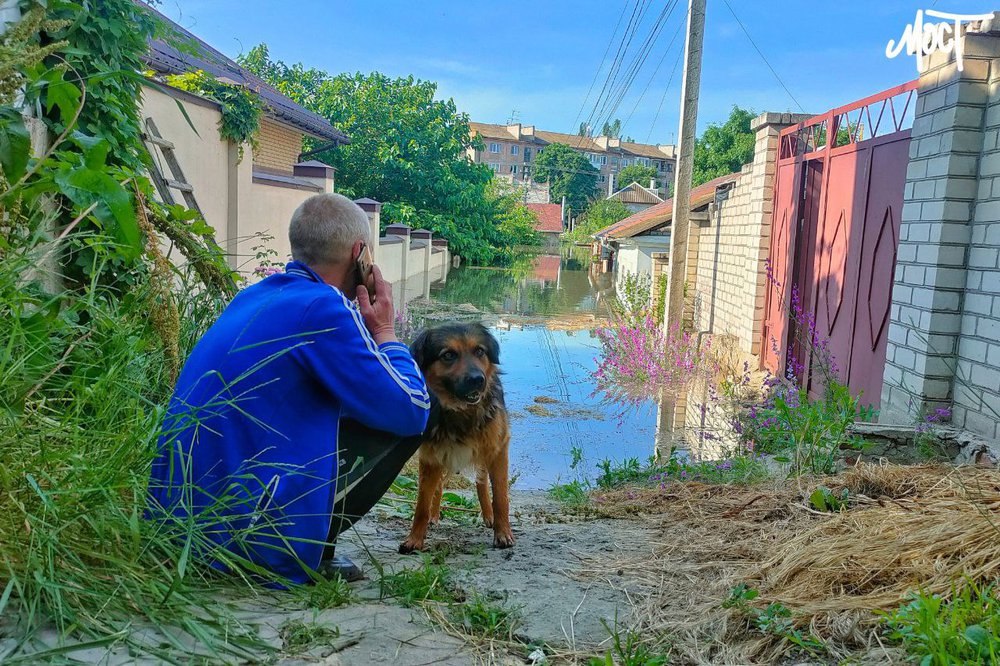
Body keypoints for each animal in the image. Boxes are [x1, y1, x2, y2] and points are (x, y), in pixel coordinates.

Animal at [396, 322, 512, 548]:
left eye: (479, 351)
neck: (461, 411)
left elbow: (500, 496)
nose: (478, 380)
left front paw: (502, 533)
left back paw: (489, 516)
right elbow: (422, 503)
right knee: (439, 486)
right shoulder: (431, 456)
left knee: (481, 483)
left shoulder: (497, 449)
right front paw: (415, 539)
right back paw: (434, 515)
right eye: (448, 355)